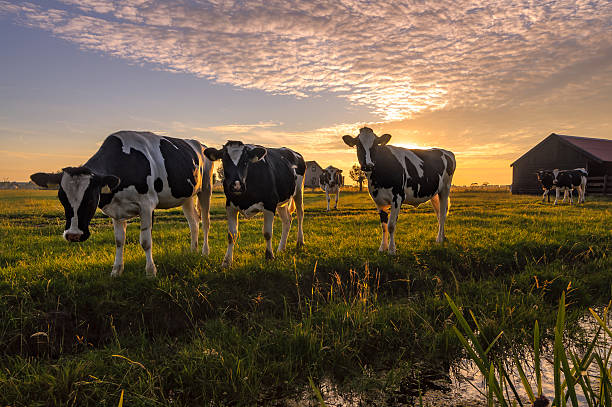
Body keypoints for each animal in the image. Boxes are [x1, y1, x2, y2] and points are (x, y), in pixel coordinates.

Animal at [29, 132, 214, 278]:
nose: (73, 235)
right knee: (193, 222)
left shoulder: (147, 205)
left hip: (206, 188)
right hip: (187, 196)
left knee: (205, 221)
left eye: (90, 199)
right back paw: (192, 251)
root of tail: (199, 143)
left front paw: (150, 271)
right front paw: (116, 270)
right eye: (62, 198)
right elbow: (119, 240)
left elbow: (146, 241)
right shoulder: (116, 210)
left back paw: (204, 252)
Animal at [203, 142, 306, 270]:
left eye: (245, 161)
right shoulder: (230, 206)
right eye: (224, 160)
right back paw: (281, 248)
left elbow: (267, 233)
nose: (236, 185)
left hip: (299, 191)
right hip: (282, 201)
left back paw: (300, 241)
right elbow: (231, 235)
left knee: (300, 214)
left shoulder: (270, 204)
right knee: (287, 221)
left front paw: (269, 256)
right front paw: (226, 262)